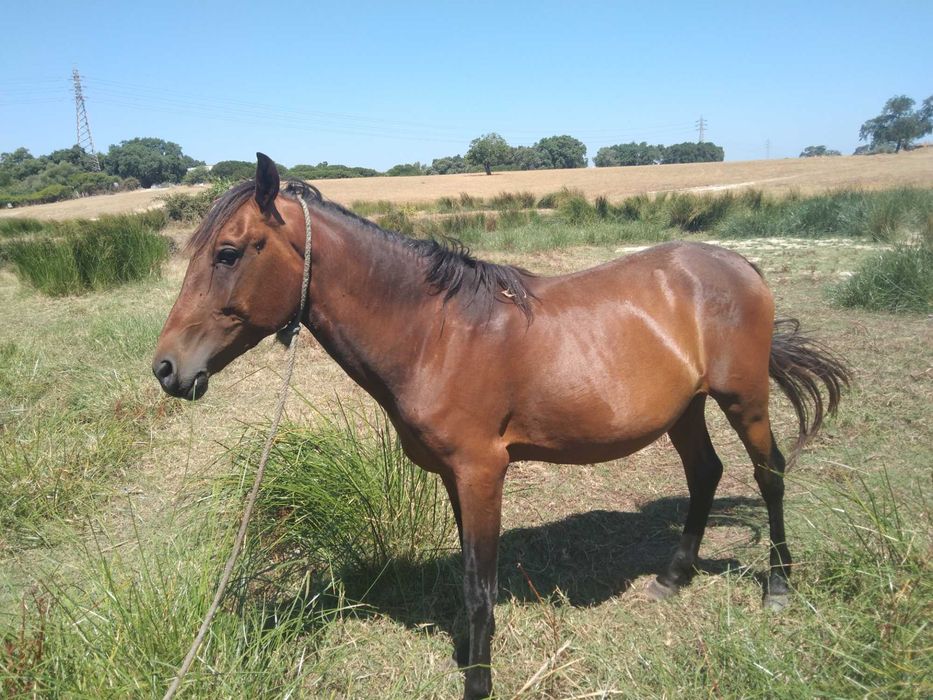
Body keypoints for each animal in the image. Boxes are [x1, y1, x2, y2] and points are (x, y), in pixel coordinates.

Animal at [153, 153, 850, 699]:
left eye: (227, 253)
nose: (166, 368)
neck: (436, 333)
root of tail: (741, 265)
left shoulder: (482, 472)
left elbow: (479, 587)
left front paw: (478, 681)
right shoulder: (453, 478)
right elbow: (469, 576)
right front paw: (469, 657)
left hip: (743, 399)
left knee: (769, 474)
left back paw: (778, 586)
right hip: (685, 409)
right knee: (706, 473)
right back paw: (673, 578)